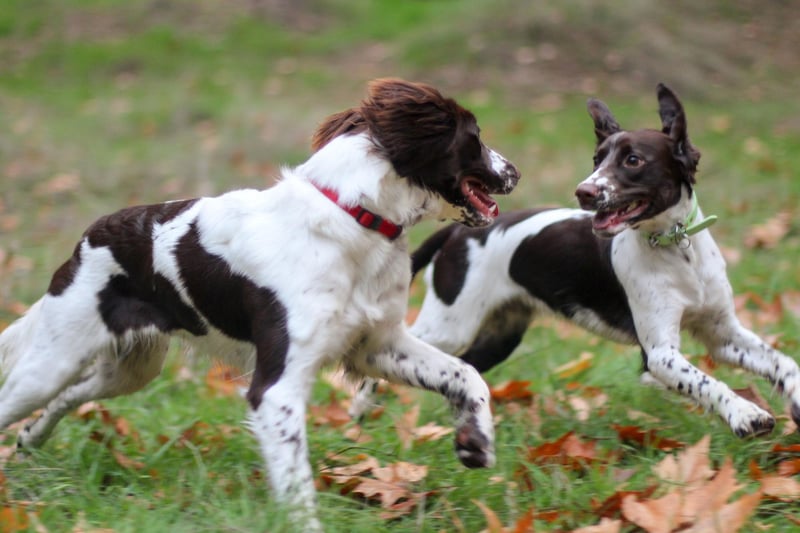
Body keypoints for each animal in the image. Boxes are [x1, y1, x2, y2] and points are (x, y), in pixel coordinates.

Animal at [0, 78, 520, 528]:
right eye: (474, 137)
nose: (514, 172)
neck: (354, 216)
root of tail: (88, 237)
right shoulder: (277, 386)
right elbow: (296, 482)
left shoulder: (375, 345)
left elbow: (466, 375)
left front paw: (475, 442)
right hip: (51, 362)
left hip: (128, 370)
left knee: (69, 396)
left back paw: (30, 443)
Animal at [352, 83, 800, 438]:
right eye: (596, 159)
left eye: (633, 160)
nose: (584, 191)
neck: (677, 249)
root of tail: (460, 232)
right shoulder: (659, 355)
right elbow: (708, 383)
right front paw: (745, 414)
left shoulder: (722, 333)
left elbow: (783, 361)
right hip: (449, 324)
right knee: (394, 353)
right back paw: (360, 408)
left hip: (500, 334)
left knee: (461, 368)